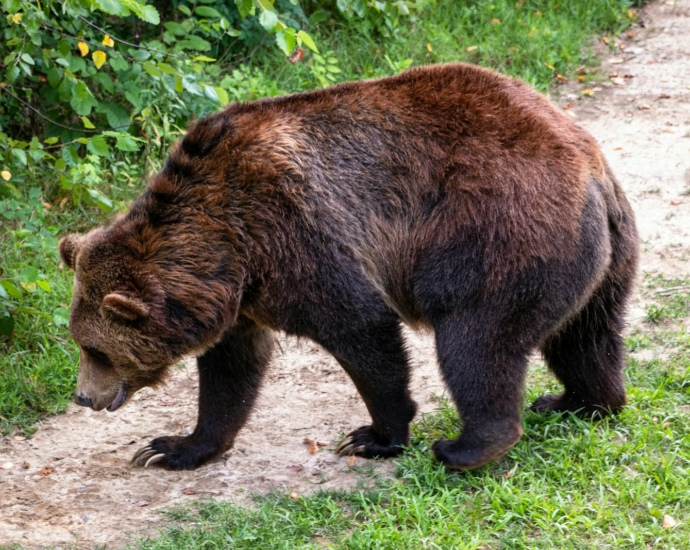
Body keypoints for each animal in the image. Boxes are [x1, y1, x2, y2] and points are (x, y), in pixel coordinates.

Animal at [61, 62, 636, 472]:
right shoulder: (240, 296)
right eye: (81, 343)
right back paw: (576, 401)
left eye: (97, 349)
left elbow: (361, 327)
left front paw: (375, 436)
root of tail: (590, 166)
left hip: (498, 235)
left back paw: (467, 446)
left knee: (477, 341)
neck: (224, 247)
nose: (84, 397)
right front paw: (173, 447)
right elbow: (231, 370)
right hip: (600, 258)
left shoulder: (295, 235)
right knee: (586, 336)